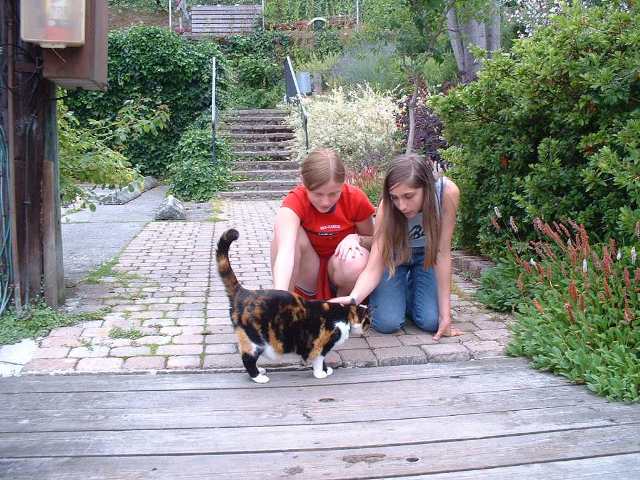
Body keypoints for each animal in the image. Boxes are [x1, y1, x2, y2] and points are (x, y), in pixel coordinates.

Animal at [216, 228, 370, 383]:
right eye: (368, 321)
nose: (369, 327)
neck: (344, 314)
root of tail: (243, 292)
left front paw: (327, 370)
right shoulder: (320, 345)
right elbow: (319, 361)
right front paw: (321, 373)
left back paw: (260, 370)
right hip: (255, 340)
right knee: (248, 358)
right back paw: (259, 377)